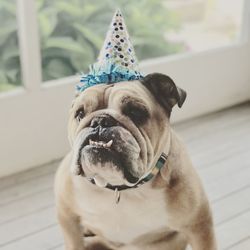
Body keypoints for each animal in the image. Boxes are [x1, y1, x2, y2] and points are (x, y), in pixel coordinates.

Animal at [54, 73, 217, 250]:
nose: (100, 121)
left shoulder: (198, 226)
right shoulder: (67, 217)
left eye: (136, 112)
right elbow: (74, 243)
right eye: (80, 114)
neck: (119, 187)